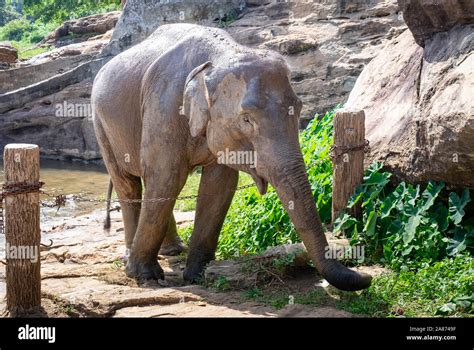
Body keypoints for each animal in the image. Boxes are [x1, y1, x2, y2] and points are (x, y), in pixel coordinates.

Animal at [91, 22, 374, 292]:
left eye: (299, 107)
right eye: (246, 119)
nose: (366, 276)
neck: (220, 55)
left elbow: (219, 186)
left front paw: (199, 275)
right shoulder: (164, 108)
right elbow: (167, 177)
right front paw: (147, 277)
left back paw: (173, 251)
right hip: (100, 124)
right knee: (129, 184)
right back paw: (134, 260)